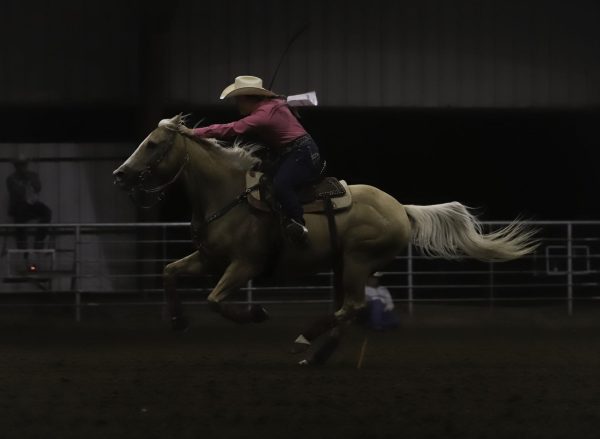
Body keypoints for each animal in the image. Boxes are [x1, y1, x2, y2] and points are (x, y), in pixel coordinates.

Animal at [113, 113, 540, 350]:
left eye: (152, 144)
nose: (120, 174)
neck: (228, 194)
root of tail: (401, 208)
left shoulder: (245, 265)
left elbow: (216, 300)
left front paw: (257, 313)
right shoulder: (208, 258)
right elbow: (169, 272)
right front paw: (177, 321)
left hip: (357, 261)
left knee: (352, 307)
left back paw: (309, 342)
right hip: (343, 264)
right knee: (347, 309)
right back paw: (316, 349)